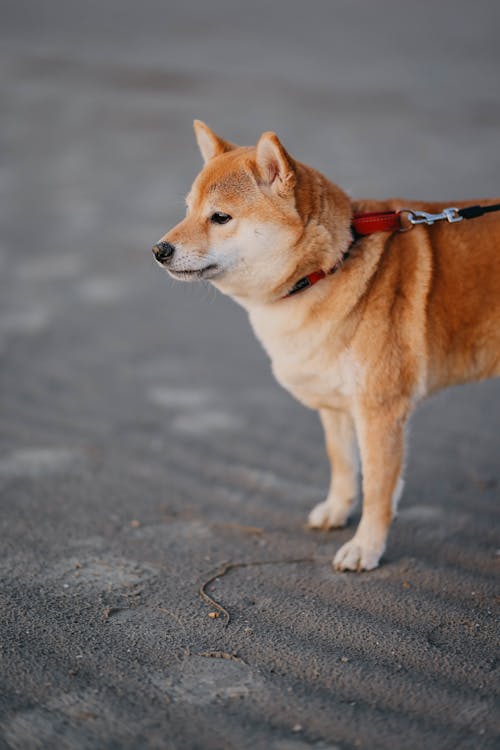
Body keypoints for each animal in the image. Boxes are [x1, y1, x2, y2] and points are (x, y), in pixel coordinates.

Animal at [152, 120, 500, 572]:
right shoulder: (336, 404)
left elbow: (378, 489)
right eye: (188, 210)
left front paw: (366, 547)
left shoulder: (380, 411)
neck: (327, 267)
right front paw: (337, 510)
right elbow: (343, 464)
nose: (158, 250)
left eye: (220, 217)